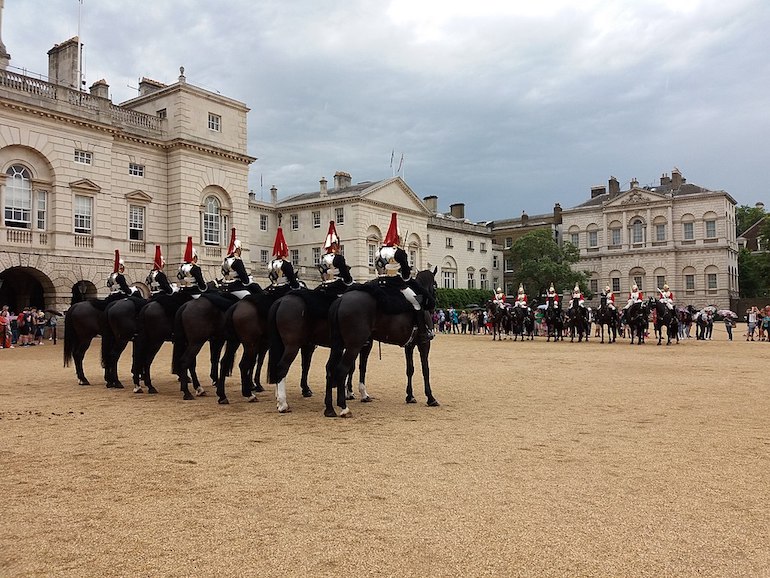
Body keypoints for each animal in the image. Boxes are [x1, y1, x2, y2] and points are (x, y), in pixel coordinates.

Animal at [320, 268, 436, 416]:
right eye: (435, 286)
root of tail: (341, 299)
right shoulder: (424, 344)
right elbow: (425, 369)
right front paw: (430, 398)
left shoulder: (409, 346)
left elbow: (410, 369)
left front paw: (410, 396)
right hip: (354, 346)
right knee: (342, 369)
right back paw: (344, 407)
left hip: (338, 345)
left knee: (330, 368)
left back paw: (329, 408)